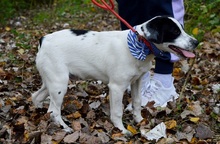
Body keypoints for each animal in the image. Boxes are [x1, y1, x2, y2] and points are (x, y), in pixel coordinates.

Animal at [31, 16, 199, 134]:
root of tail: (44, 39)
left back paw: (40, 112)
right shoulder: (117, 87)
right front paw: (121, 130)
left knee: (36, 97)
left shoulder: (137, 81)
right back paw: (64, 127)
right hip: (59, 83)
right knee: (53, 111)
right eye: (175, 32)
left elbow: (137, 102)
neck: (139, 45)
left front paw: (139, 120)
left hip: (51, 82)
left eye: (182, 29)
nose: (196, 42)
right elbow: (117, 112)